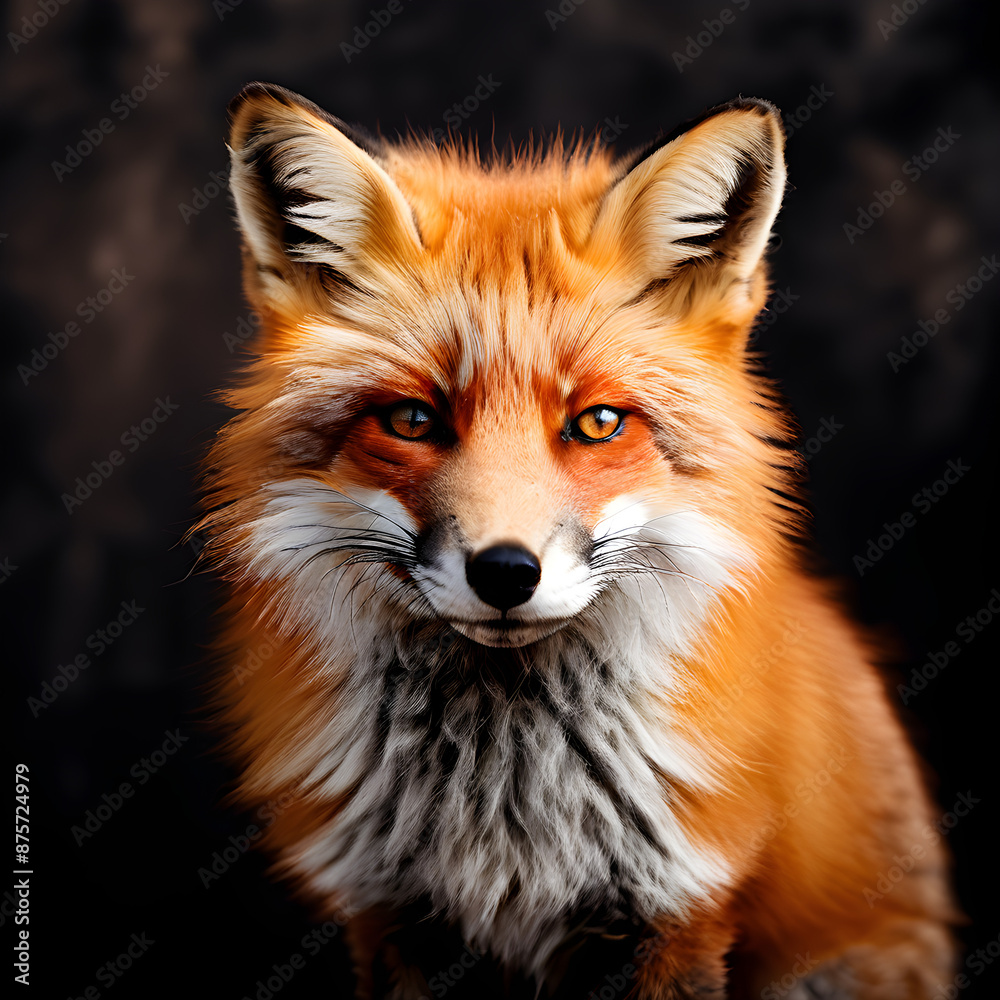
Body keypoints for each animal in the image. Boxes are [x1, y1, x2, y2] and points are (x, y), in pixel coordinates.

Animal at [196, 82, 960, 999]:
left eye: (597, 423)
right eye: (412, 420)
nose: (504, 573)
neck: (503, 798)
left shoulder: (677, 907)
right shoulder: (391, 913)